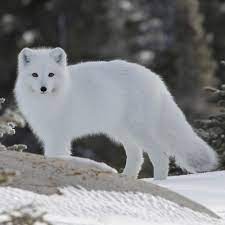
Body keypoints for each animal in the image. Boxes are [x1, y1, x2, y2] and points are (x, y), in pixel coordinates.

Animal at [14, 47, 218, 179]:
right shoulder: (48, 135)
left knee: (160, 155)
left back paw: (160, 183)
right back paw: (127, 178)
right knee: (137, 156)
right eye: (34, 74)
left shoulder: (59, 136)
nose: (43, 88)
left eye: (51, 74)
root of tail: (156, 79)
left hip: (138, 130)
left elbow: (57, 157)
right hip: (121, 132)